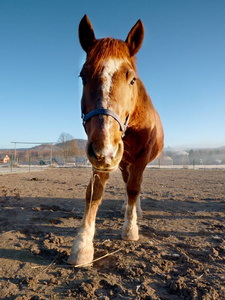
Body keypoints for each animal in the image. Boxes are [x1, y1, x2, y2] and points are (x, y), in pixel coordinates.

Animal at [67, 15, 164, 264]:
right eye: (83, 76)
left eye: (132, 79)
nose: (107, 149)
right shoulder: (100, 156)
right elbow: (94, 194)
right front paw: (82, 245)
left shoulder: (137, 158)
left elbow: (134, 189)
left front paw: (130, 230)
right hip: (120, 161)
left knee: (134, 186)